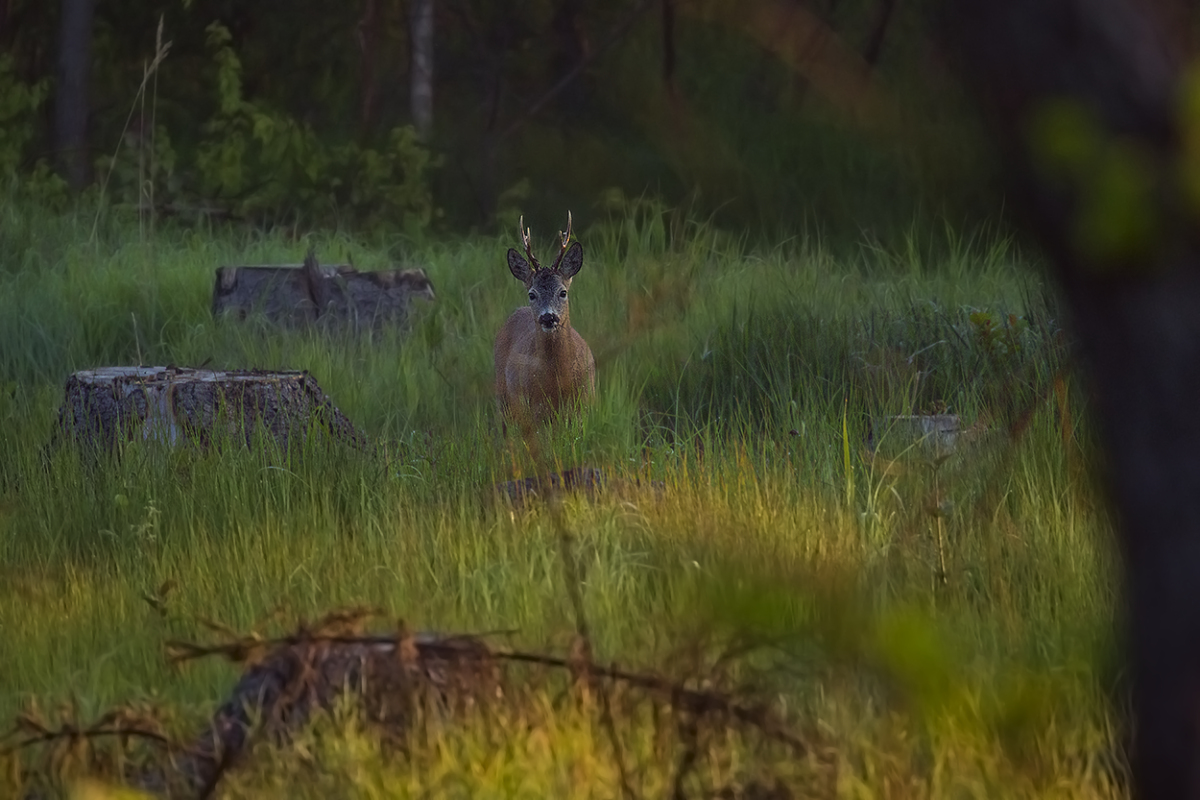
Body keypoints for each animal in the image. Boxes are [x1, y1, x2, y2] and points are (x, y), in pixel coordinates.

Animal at [492, 212, 595, 431]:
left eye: (563, 292)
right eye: (532, 294)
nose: (548, 317)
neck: (558, 380)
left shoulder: (585, 403)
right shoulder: (536, 408)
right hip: (503, 393)